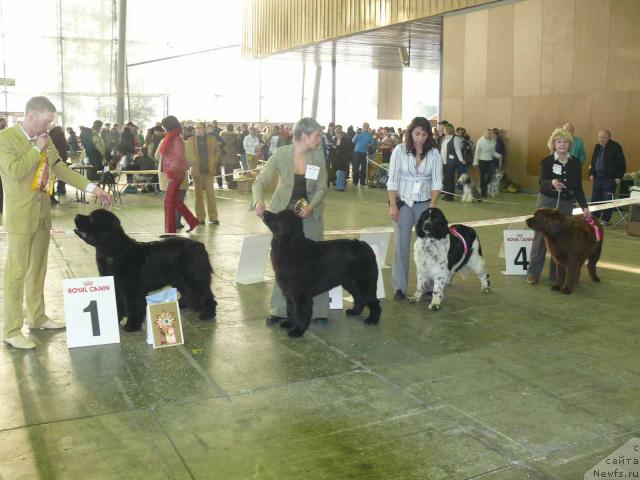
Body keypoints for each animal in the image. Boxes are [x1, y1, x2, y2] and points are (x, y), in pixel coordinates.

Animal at [74, 208, 216, 332]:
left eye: (91, 218)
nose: (76, 215)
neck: (112, 250)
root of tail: (199, 245)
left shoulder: (131, 290)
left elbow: (133, 307)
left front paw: (131, 326)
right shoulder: (116, 287)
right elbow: (118, 305)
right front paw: (116, 321)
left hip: (194, 277)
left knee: (205, 294)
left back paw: (207, 314)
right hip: (179, 279)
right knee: (188, 291)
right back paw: (183, 304)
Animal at [264, 210, 382, 338]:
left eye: (278, 216)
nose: (265, 211)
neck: (290, 246)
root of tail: (364, 245)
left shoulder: (301, 294)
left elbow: (300, 313)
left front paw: (297, 331)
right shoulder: (288, 293)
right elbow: (290, 310)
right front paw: (289, 324)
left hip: (365, 283)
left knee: (374, 302)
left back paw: (372, 320)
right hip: (350, 283)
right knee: (359, 298)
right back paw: (354, 312)